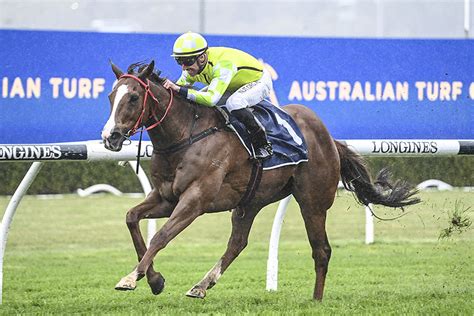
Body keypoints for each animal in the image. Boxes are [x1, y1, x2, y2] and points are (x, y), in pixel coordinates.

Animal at [101, 61, 418, 302]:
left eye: (133, 98)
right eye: (111, 97)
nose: (110, 137)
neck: (186, 136)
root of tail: (329, 138)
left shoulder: (195, 200)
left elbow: (161, 236)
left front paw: (131, 277)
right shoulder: (166, 198)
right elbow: (131, 218)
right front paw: (154, 280)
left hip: (312, 202)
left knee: (322, 250)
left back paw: (316, 299)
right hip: (250, 201)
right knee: (238, 243)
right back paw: (202, 285)